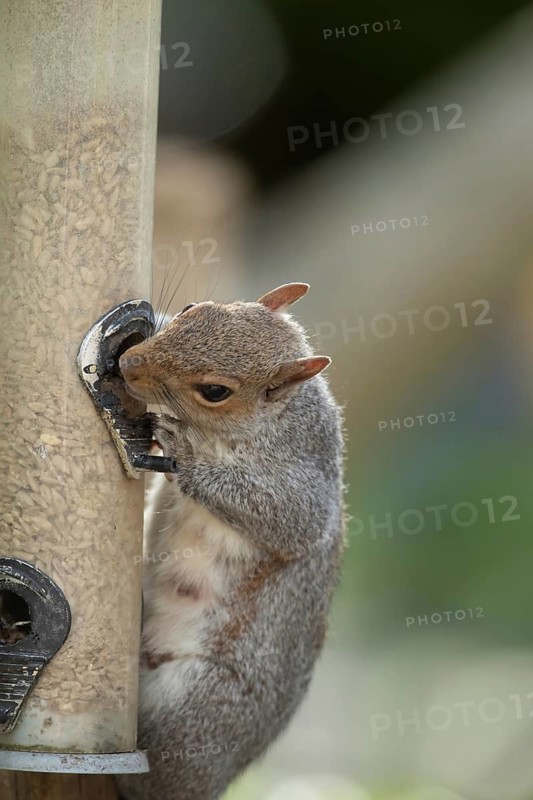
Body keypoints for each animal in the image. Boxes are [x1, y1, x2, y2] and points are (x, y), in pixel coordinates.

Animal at [116, 282, 346, 800]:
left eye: (215, 391)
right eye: (191, 309)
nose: (128, 363)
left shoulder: (302, 483)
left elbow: (286, 520)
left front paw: (181, 450)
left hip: (196, 710)